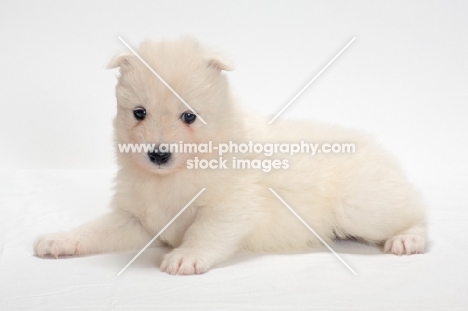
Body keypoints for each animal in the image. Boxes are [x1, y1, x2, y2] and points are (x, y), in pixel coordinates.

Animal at [34, 37, 426, 276]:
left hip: (360, 205)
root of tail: (380, 149)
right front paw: (60, 239)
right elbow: (95, 228)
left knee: (415, 213)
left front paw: (185, 257)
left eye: (189, 116)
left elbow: (206, 231)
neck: (175, 175)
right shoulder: (138, 219)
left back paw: (408, 239)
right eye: (139, 113)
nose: (158, 155)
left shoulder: (230, 206)